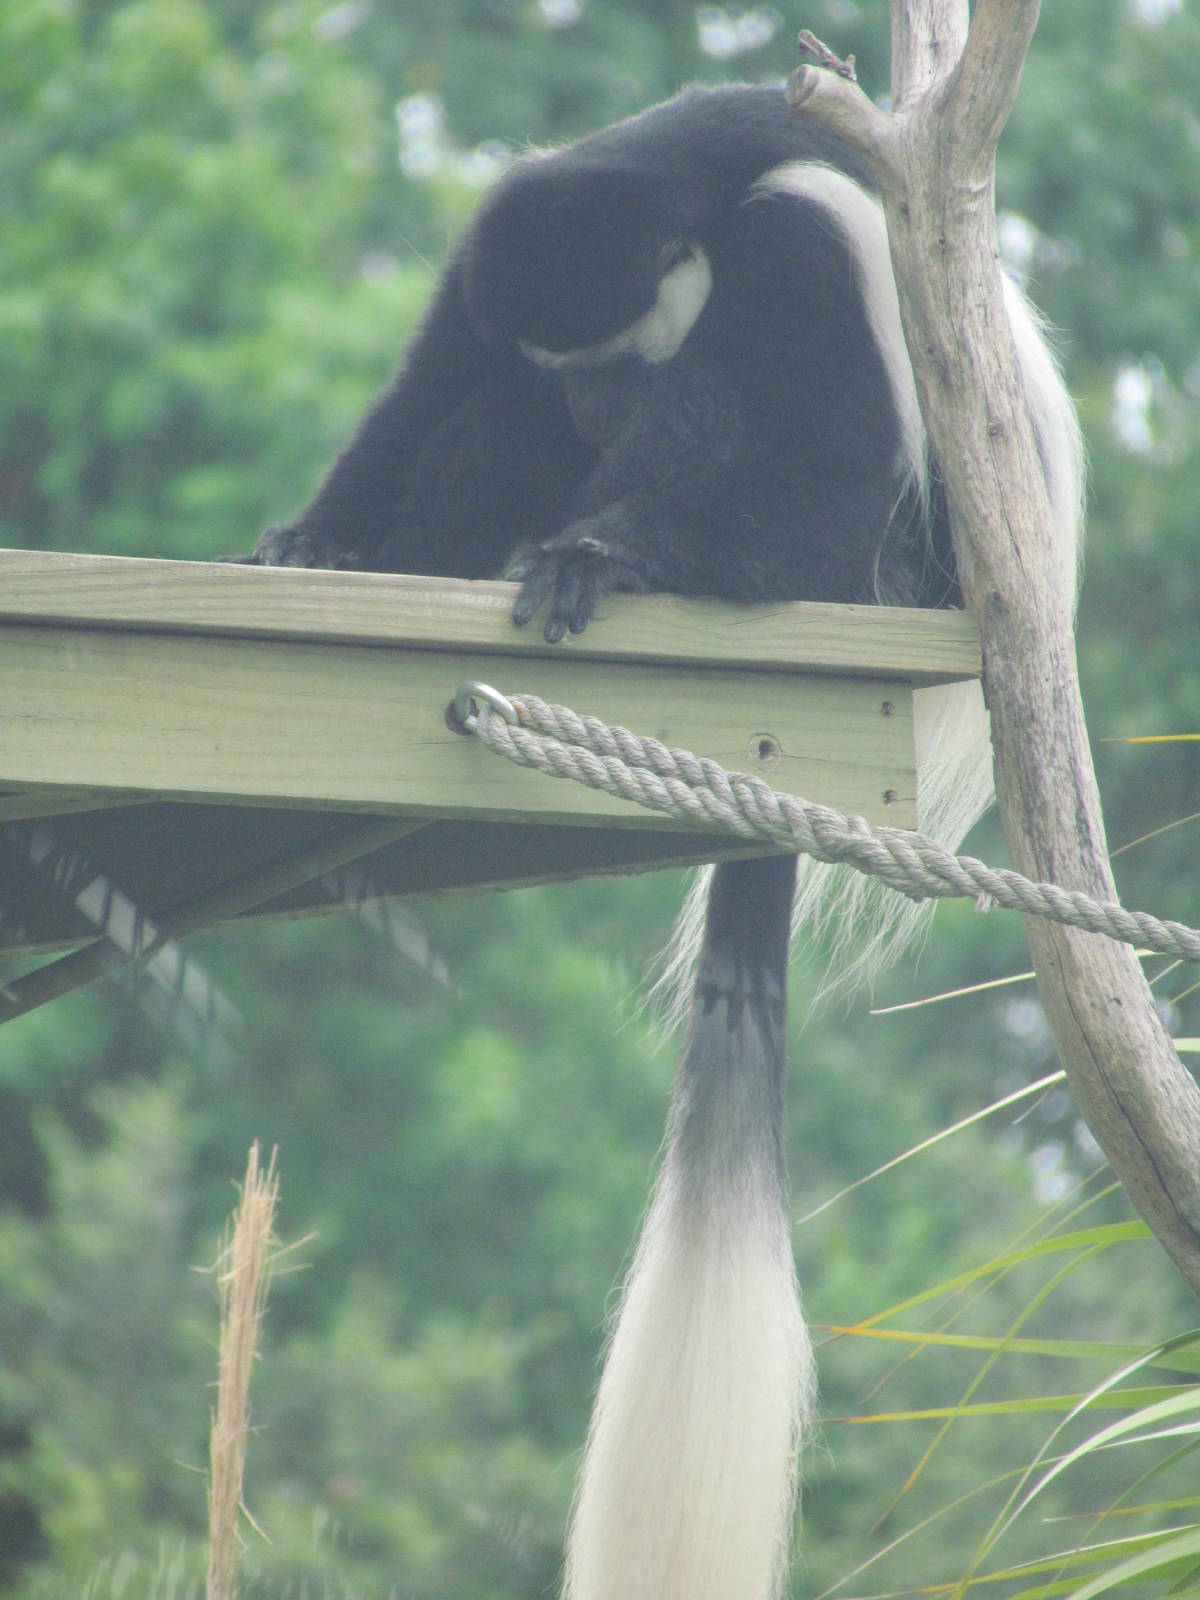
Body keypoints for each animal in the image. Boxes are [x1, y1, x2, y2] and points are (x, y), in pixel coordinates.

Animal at [242, 83, 1083, 1600]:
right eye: (578, 366)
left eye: (621, 361)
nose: (588, 409)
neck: (691, 198)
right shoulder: (485, 272)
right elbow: (430, 392)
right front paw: (316, 543)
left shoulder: (799, 266)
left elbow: (806, 460)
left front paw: (610, 551)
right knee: (483, 421)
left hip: (892, 569)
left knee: (785, 489)